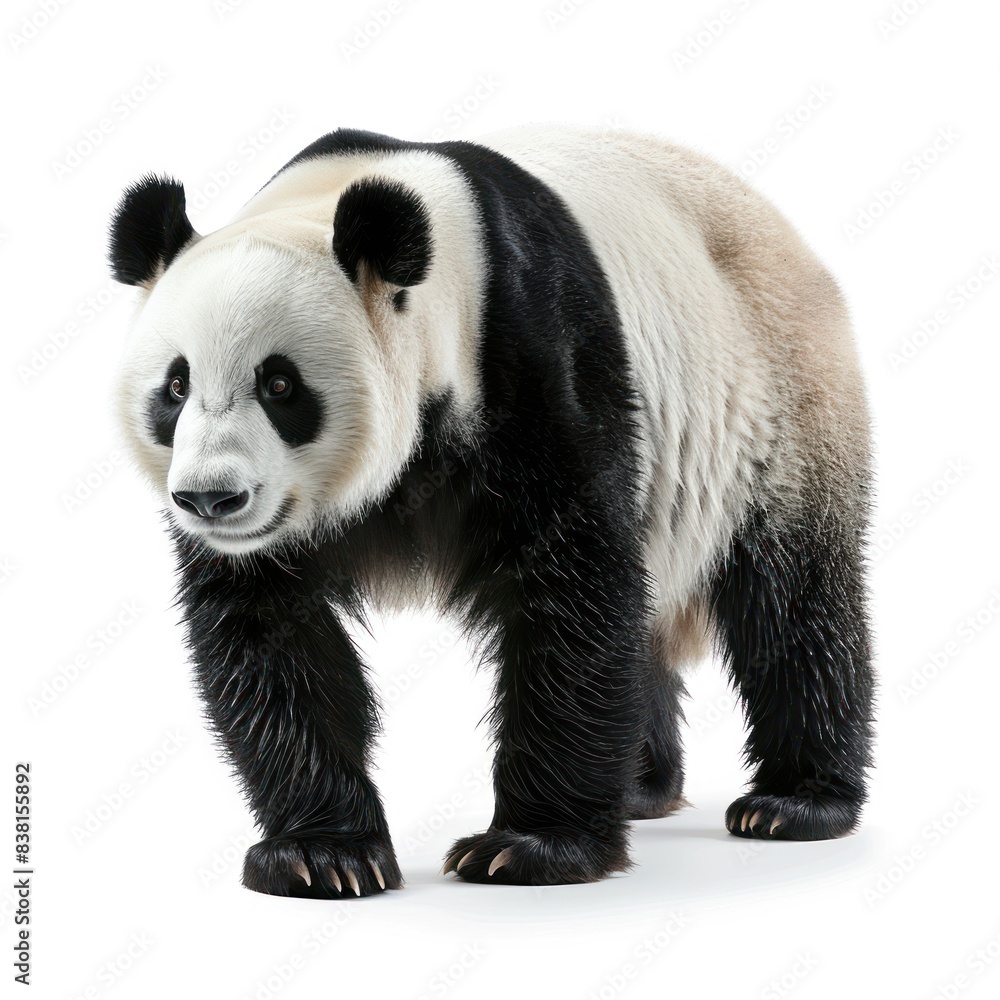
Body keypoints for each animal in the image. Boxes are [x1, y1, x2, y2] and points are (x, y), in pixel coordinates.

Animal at [108, 124, 874, 897]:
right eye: (176, 386)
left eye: (280, 384)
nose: (211, 498)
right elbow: (269, 633)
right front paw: (322, 854)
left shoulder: (534, 361)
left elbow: (573, 588)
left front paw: (530, 848)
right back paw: (640, 786)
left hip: (777, 395)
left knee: (791, 600)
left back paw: (794, 802)